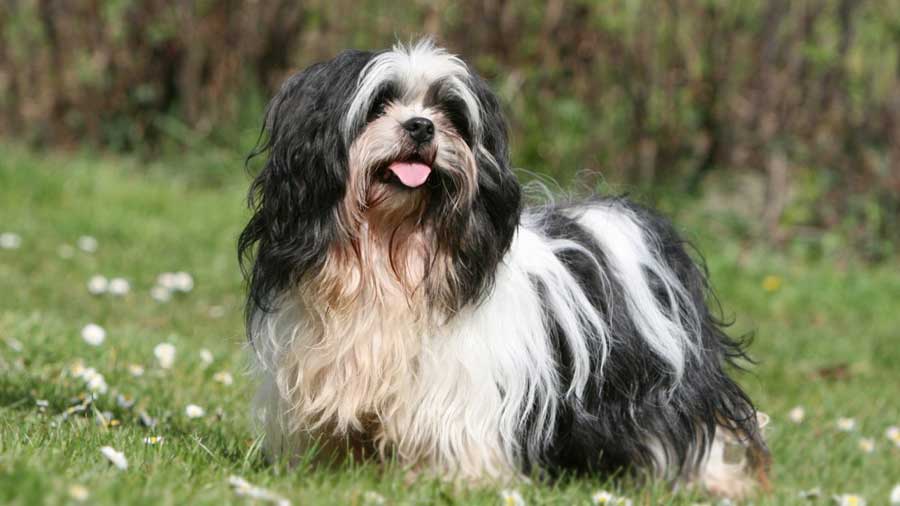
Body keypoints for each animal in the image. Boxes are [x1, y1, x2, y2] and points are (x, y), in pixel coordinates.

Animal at [237, 38, 768, 498]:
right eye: (379, 104)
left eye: (450, 113)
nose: (421, 126)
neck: (391, 254)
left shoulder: (460, 389)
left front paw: (452, 481)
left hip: (660, 391)